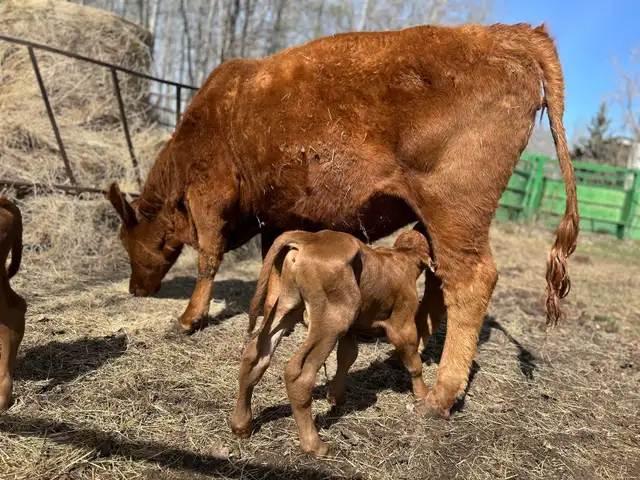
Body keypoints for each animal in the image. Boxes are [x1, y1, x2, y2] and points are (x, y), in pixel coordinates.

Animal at [107, 22, 579, 418]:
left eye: (128, 241)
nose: (134, 289)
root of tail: (510, 32)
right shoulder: (279, 214)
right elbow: (272, 266)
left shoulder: (210, 195)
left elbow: (208, 258)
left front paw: (190, 318)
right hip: (434, 219)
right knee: (438, 280)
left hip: (454, 208)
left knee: (470, 280)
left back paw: (441, 395)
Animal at [230, 229, 434, 455]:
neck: (402, 258)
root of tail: (308, 238)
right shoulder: (403, 325)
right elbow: (413, 361)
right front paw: (423, 394)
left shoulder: (350, 331)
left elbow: (347, 356)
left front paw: (336, 396)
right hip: (332, 321)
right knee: (299, 375)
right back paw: (314, 445)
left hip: (287, 307)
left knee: (254, 356)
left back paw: (241, 425)